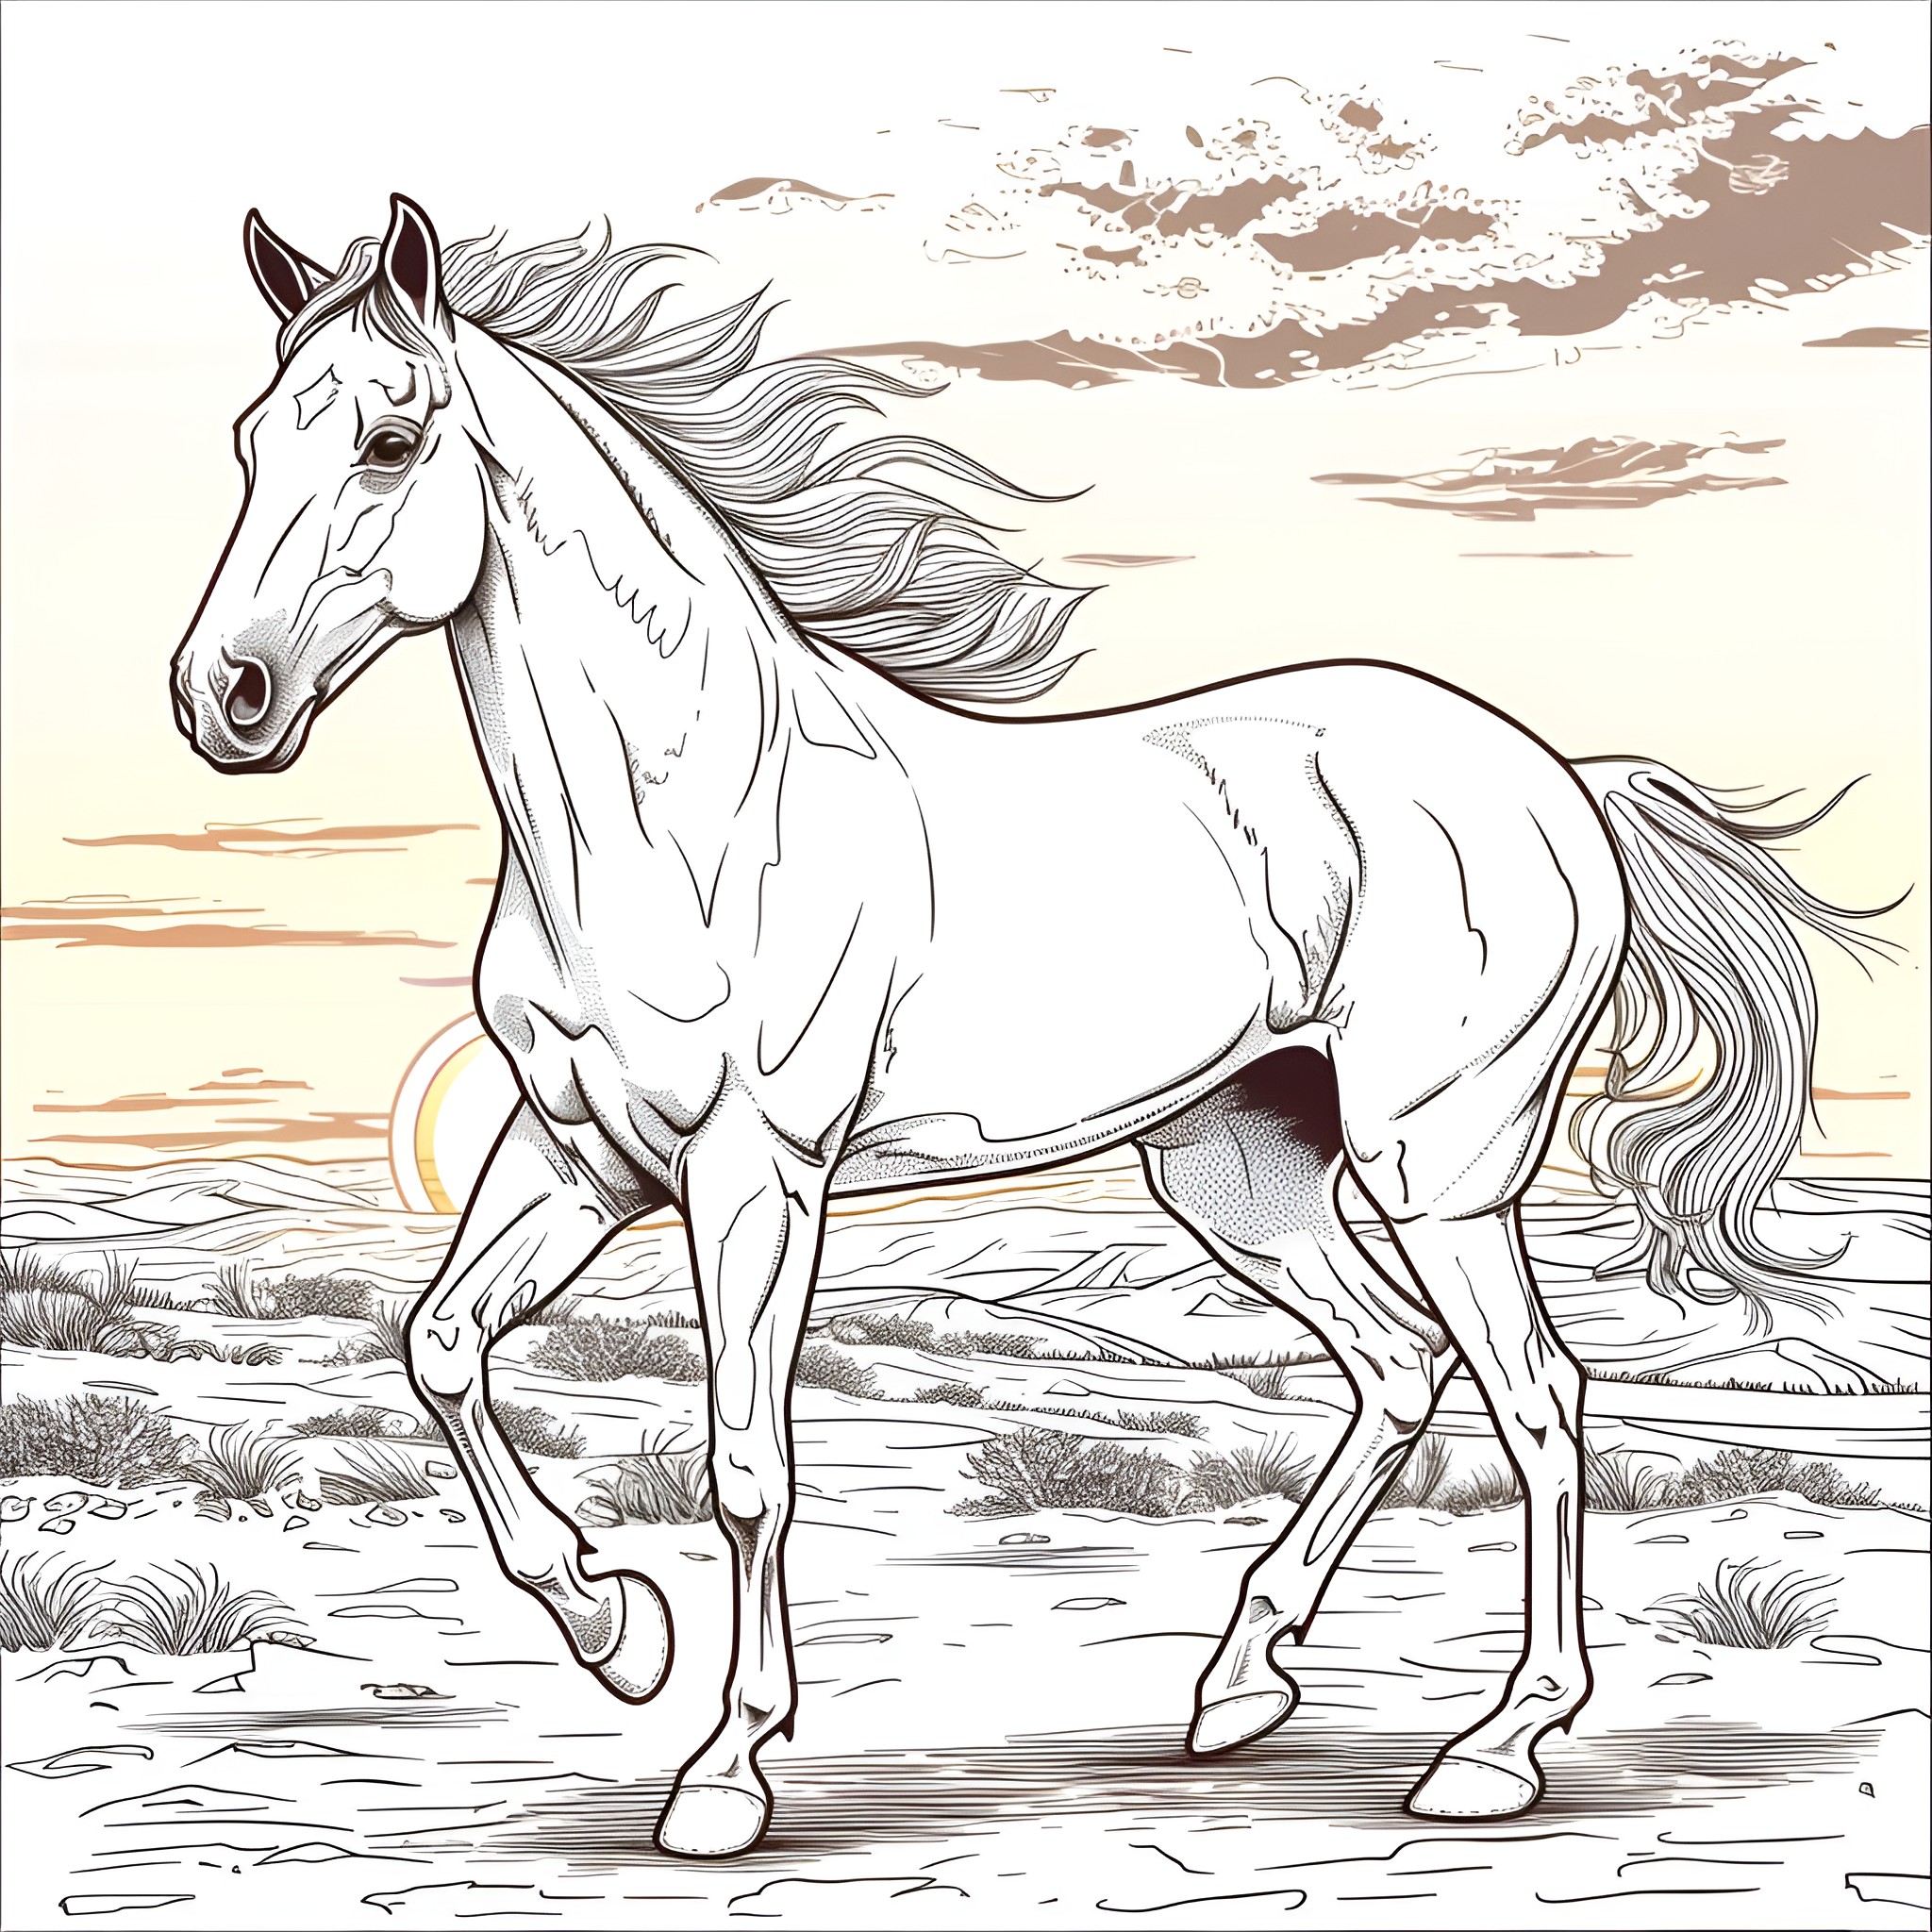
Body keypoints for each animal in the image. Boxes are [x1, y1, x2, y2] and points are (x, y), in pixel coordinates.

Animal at [173, 194, 1879, 1858]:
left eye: (391, 438)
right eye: (250, 437)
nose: (222, 699)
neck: (686, 817)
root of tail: (1558, 778)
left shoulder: (755, 1172)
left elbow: (747, 1461)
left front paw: (724, 1772)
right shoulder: (579, 1151)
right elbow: (442, 1343)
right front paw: (618, 1634)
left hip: (1438, 1164)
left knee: (1538, 1399)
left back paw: (1493, 1753)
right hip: (1243, 1174)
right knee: (1400, 1368)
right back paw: (1238, 1686)